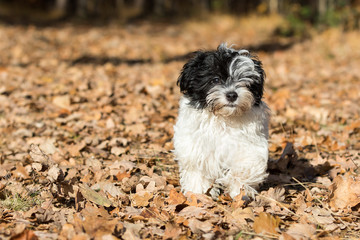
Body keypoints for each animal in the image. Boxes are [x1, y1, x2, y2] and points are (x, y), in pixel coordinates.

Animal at [173, 43, 268, 199]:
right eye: (215, 80)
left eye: (243, 80)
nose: (232, 95)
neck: (223, 118)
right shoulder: (195, 145)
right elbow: (197, 167)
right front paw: (197, 192)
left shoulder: (249, 146)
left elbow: (247, 165)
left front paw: (238, 189)